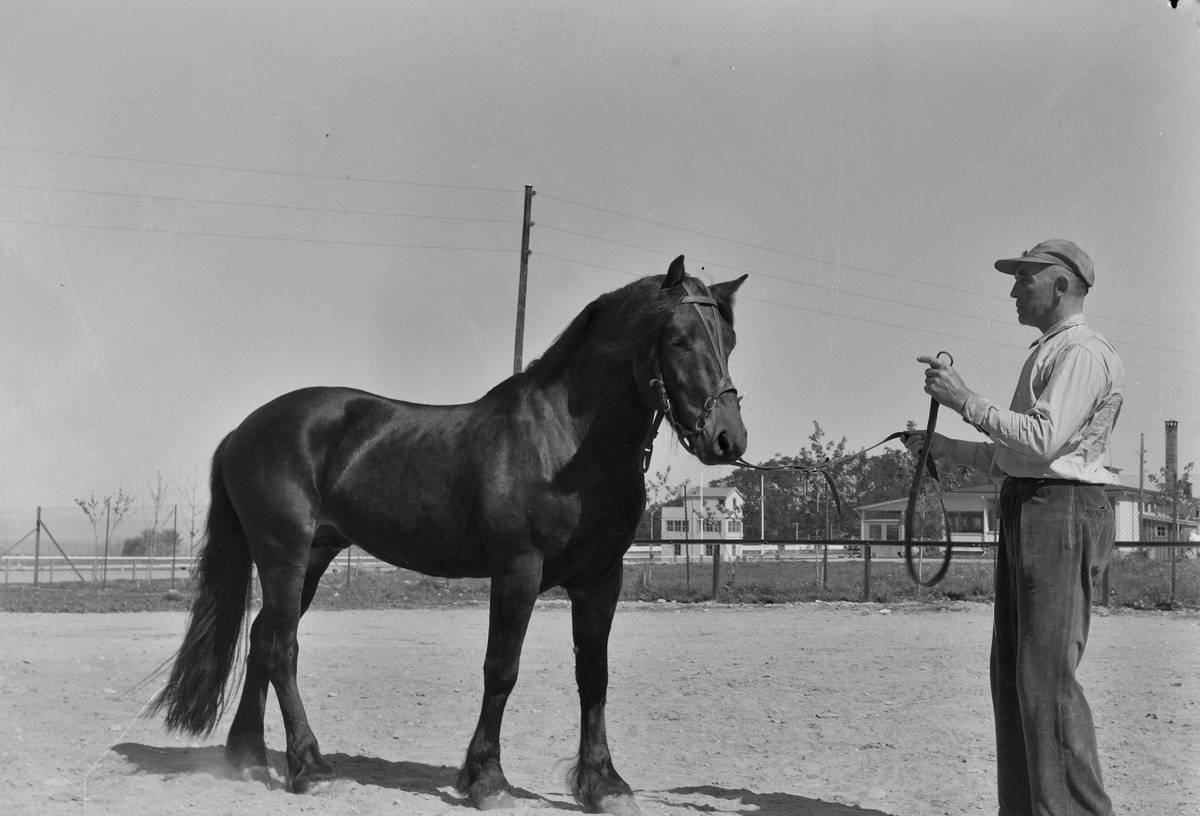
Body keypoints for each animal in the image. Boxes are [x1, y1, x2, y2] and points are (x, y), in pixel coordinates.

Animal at [154, 256, 744, 816]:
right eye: (678, 338)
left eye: (730, 340)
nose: (728, 438)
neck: (565, 445)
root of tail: (244, 429)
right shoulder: (518, 570)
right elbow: (501, 669)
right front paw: (487, 780)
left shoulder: (601, 577)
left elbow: (593, 674)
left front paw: (604, 785)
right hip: (283, 555)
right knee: (282, 650)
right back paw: (310, 769)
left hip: (315, 558)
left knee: (261, 641)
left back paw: (250, 758)